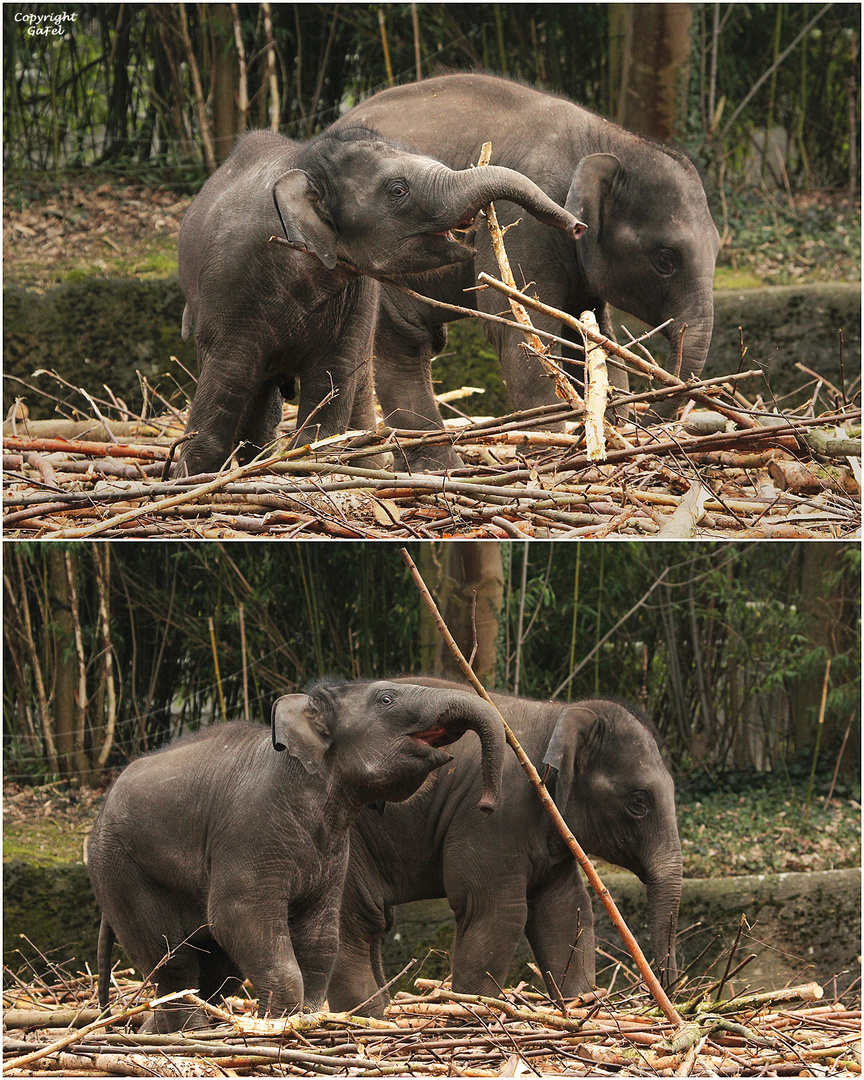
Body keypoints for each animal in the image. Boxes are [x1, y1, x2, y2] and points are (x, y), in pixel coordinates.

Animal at [85, 678, 505, 1032]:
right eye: (386, 699)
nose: (487, 805)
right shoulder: (249, 829)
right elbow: (237, 914)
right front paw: (281, 1024)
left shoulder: (334, 851)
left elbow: (321, 934)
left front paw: (307, 1017)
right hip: (120, 870)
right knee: (175, 961)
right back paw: (193, 1033)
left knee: (217, 969)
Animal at [176, 124, 583, 475]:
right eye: (398, 190)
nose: (577, 226)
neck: (303, 161)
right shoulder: (228, 288)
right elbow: (228, 378)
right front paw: (190, 477)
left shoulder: (357, 297)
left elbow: (333, 381)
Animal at [326, 678, 682, 1015]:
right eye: (639, 801)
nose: (664, 994)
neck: (557, 713)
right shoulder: (494, 816)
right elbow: (495, 907)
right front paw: (475, 1009)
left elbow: (565, 909)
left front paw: (579, 1002)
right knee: (355, 922)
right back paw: (368, 1015)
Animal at [334, 71, 717, 468]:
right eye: (665, 259)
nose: (645, 419)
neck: (605, 137)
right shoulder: (522, 222)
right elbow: (523, 326)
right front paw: (544, 455)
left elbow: (590, 331)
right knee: (403, 342)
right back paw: (437, 467)